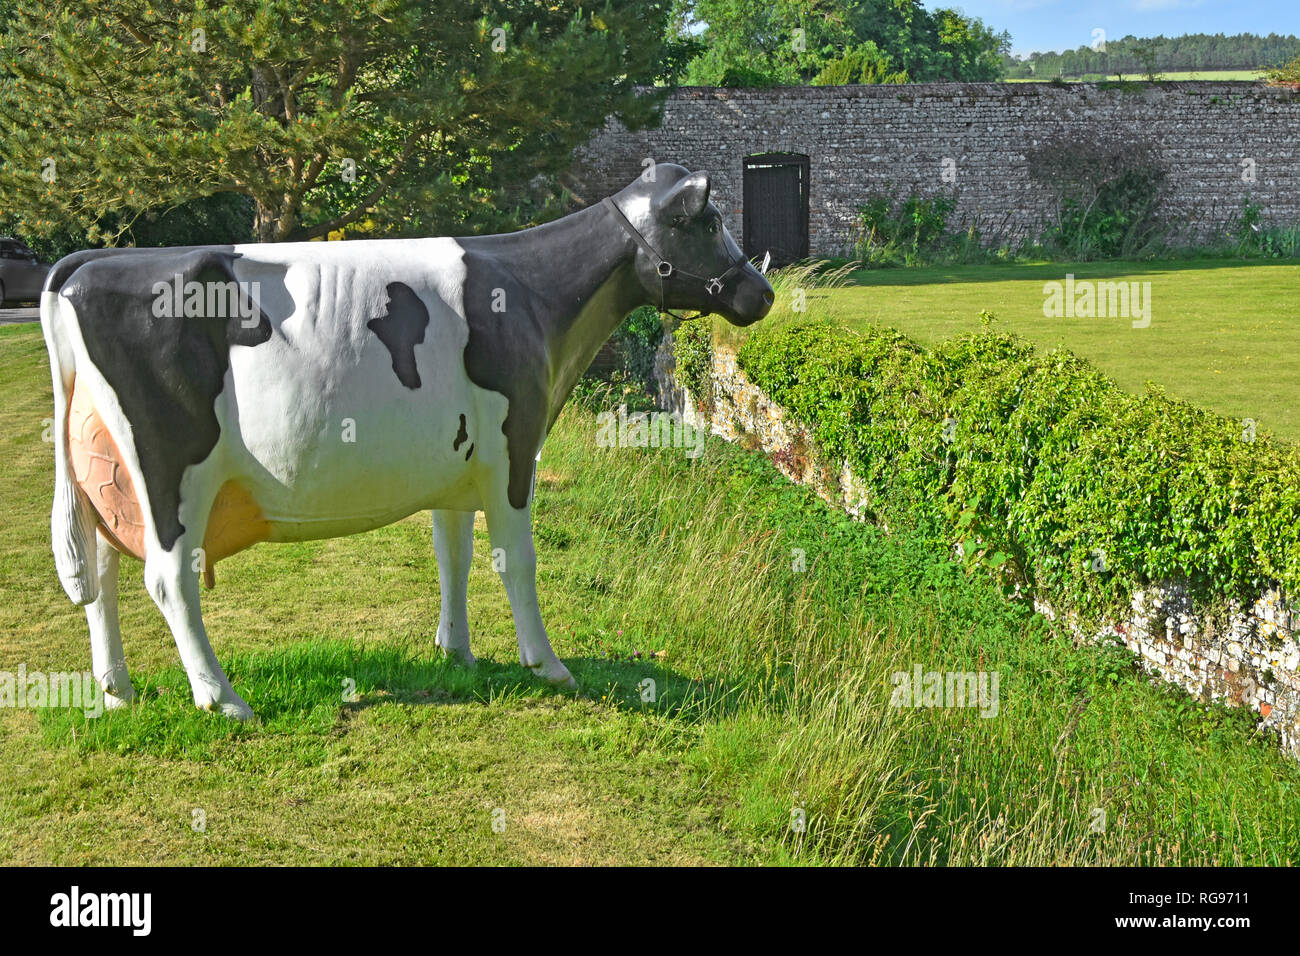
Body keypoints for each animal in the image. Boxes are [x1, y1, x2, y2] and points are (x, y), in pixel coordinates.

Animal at [40, 164, 774, 719]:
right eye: (710, 222)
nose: (762, 293)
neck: (538, 297)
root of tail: (85, 266)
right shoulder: (513, 448)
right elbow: (517, 560)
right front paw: (548, 665)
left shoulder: (455, 461)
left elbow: (454, 556)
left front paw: (457, 652)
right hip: (172, 467)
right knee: (168, 578)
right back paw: (223, 699)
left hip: (107, 472)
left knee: (100, 577)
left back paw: (118, 692)